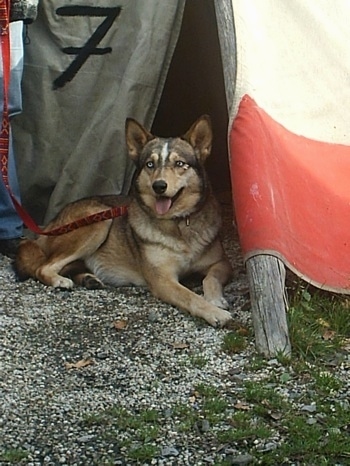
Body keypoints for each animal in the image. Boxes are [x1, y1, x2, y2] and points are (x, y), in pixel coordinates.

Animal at [17, 116, 235, 328]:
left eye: (180, 163)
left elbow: (210, 278)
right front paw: (215, 313)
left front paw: (215, 299)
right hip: (98, 219)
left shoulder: (221, 263)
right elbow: (190, 297)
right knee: (43, 268)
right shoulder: (162, 279)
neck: (179, 224)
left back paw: (88, 279)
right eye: (150, 164)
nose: (159, 186)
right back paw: (60, 280)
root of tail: (50, 224)